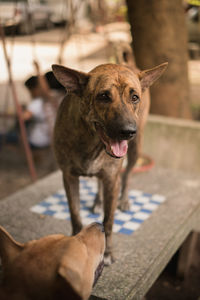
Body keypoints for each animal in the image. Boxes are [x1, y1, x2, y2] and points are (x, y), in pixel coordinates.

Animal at [51, 62, 167, 264]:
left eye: (134, 97)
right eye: (104, 96)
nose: (128, 131)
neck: (92, 141)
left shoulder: (112, 180)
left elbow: (108, 222)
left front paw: (106, 252)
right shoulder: (69, 177)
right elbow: (75, 214)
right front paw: (75, 242)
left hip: (136, 149)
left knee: (127, 176)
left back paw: (124, 199)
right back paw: (98, 201)